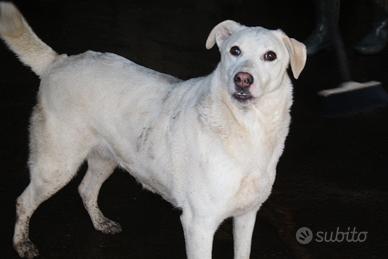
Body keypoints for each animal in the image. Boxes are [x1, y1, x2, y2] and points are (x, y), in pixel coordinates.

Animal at [0, 2, 306, 259]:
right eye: (235, 51)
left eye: (270, 56)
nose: (243, 79)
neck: (249, 130)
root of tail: (59, 61)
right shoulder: (199, 224)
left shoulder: (246, 215)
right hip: (55, 166)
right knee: (23, 201)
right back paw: (22, 243)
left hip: (105, 158)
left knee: (86, 189)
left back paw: (100, 223)